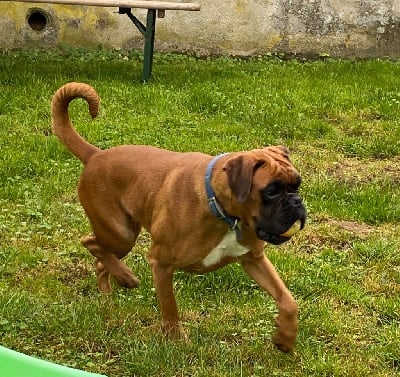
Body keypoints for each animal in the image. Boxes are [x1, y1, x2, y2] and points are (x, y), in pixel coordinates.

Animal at [50, 81, 306, 352]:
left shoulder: (254, 259)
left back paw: (109, 295)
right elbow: (170, 307)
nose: (297, 202)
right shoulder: (161, 263)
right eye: (271, 191)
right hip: (120, 234)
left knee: (100, 260)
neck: (222, 210)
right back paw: (126, 277)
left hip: (120, 236)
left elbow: (288, 300)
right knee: (90, 243)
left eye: (297, 185)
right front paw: (177, 342)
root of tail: (96, 155)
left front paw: (285, 337)